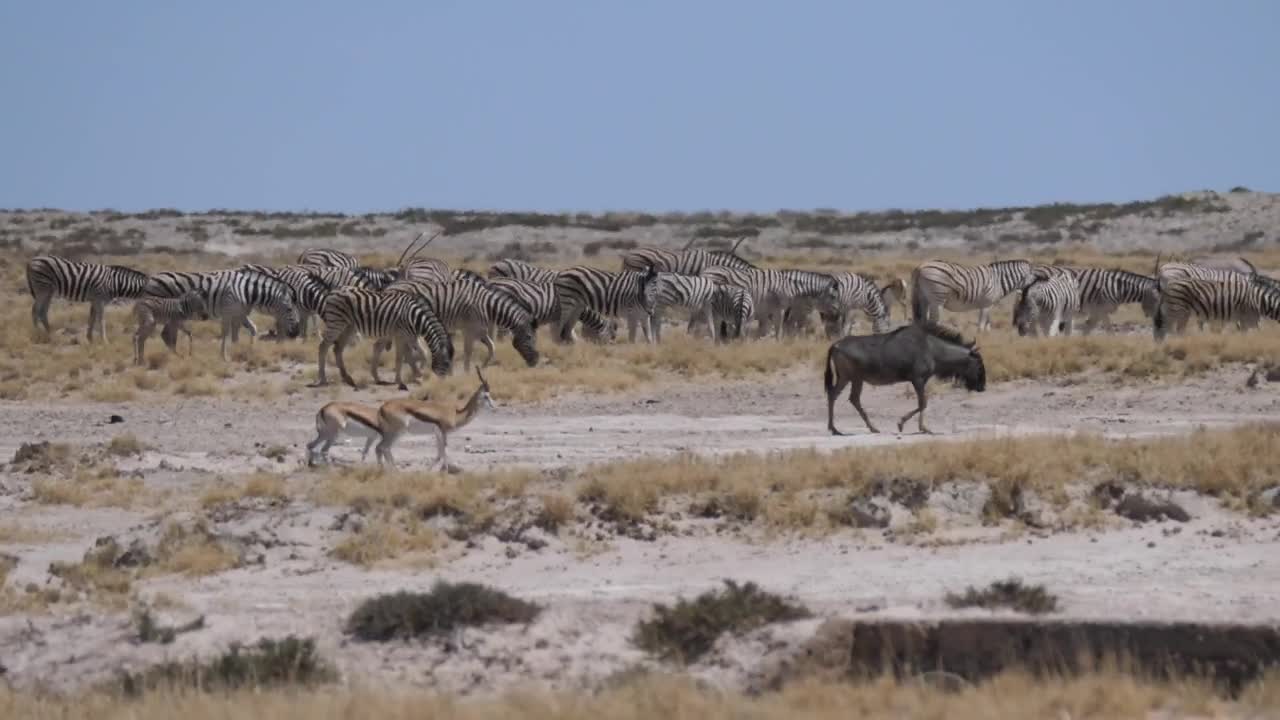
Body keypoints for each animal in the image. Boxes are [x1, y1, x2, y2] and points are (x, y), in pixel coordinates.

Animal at [316, 288, 454, 389]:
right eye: (447, 363)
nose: (444, 384)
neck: (416, 317)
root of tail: (333, 291)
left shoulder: (411, 336)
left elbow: (422, 353)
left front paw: (419, 374)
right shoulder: (400, 335)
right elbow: (400, 358)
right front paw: (400, 381)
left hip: (349, 326)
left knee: (338, 348)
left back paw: (347, 378)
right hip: (336, 322)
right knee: (323, 346)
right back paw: (323, 379)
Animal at [382, 279, 539, 370]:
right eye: (530, 337)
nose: (536, 361)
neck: (487, 306)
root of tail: (390, 286)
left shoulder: (480, 330)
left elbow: (492, 347)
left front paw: (483, 366)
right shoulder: (469, 329)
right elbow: (468, 351)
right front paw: (467, 372)